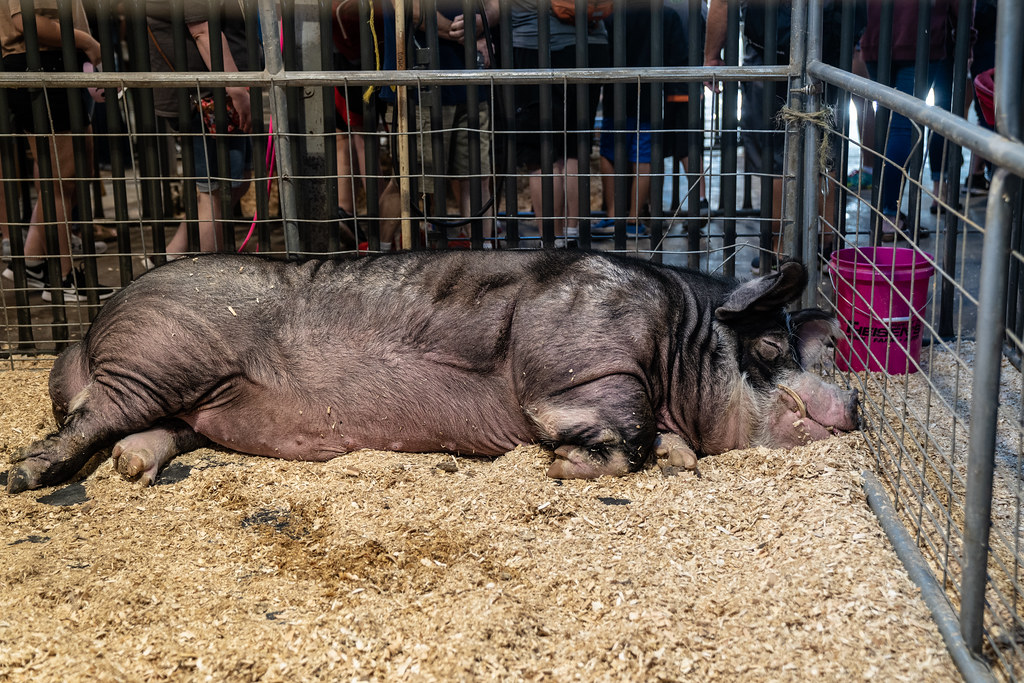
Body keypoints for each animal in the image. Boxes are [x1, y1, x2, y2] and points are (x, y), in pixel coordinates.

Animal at [6, 250, 858, 494]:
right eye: (774, 348)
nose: (853, 398)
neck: (676, 342)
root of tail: (90, 328)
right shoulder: (583, 362)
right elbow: (625, 424)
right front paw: (564, 461)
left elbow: (662, 440)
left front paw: (682, 460)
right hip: (161, 354)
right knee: (90, 415)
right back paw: (27, 476)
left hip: (193, 394)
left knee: (149, 430)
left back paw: (132, 467)